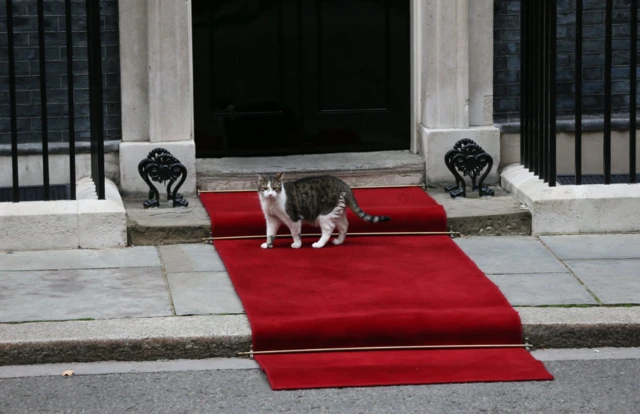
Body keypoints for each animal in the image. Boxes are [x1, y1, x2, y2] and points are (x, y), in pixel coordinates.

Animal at [256, 172, 390, 249]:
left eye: (275, 188)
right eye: (265, 188)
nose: (270, 194)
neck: (271, 203)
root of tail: (343, 184)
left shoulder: (293, 219)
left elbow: (295, 233)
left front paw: (297, 244)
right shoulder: (271, 219)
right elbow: (270, 233)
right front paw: (268, 244)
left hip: (325, 214)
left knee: (329, 229)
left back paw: (319, 244)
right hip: (337, 211)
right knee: (344, 226)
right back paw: (339, 241)